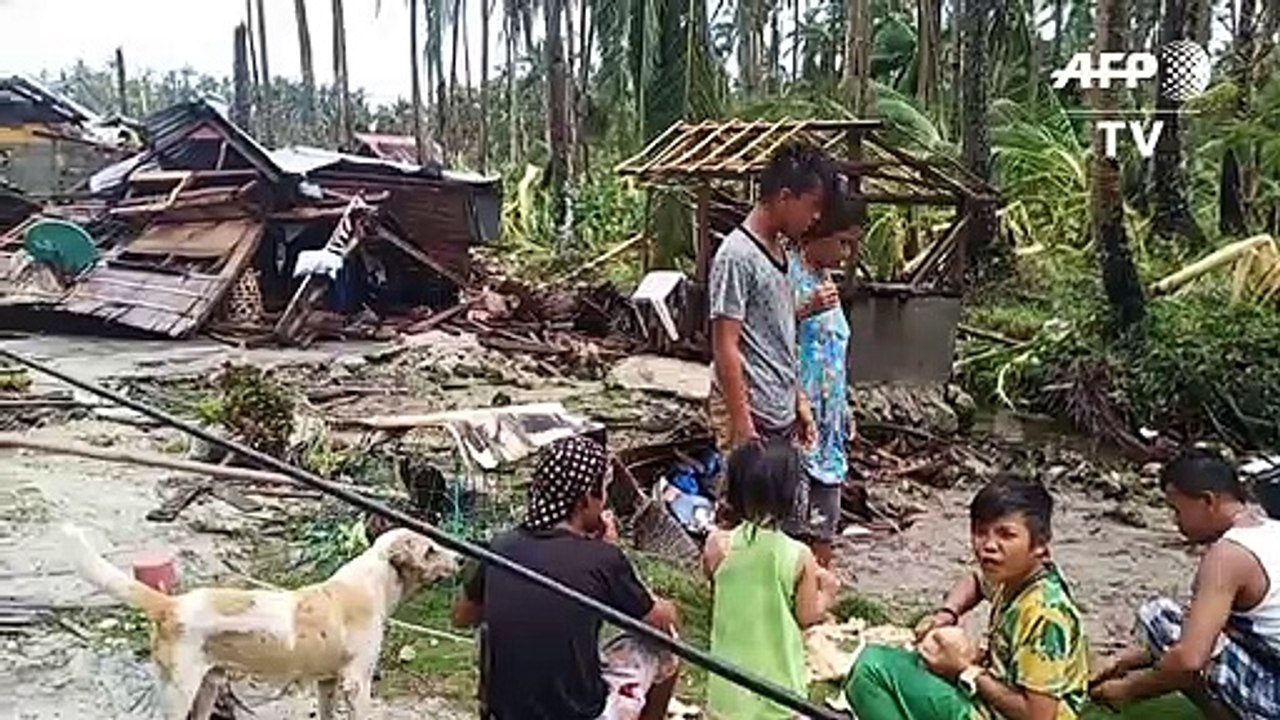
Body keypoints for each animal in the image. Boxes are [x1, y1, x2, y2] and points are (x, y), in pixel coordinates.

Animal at [62, 520, 460, 717]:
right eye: (430, 550)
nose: (460, 558)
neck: (372, 582)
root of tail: (170, 605)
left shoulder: (328, 683)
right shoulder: (356, 683)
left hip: (206, 687)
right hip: (179, 691)